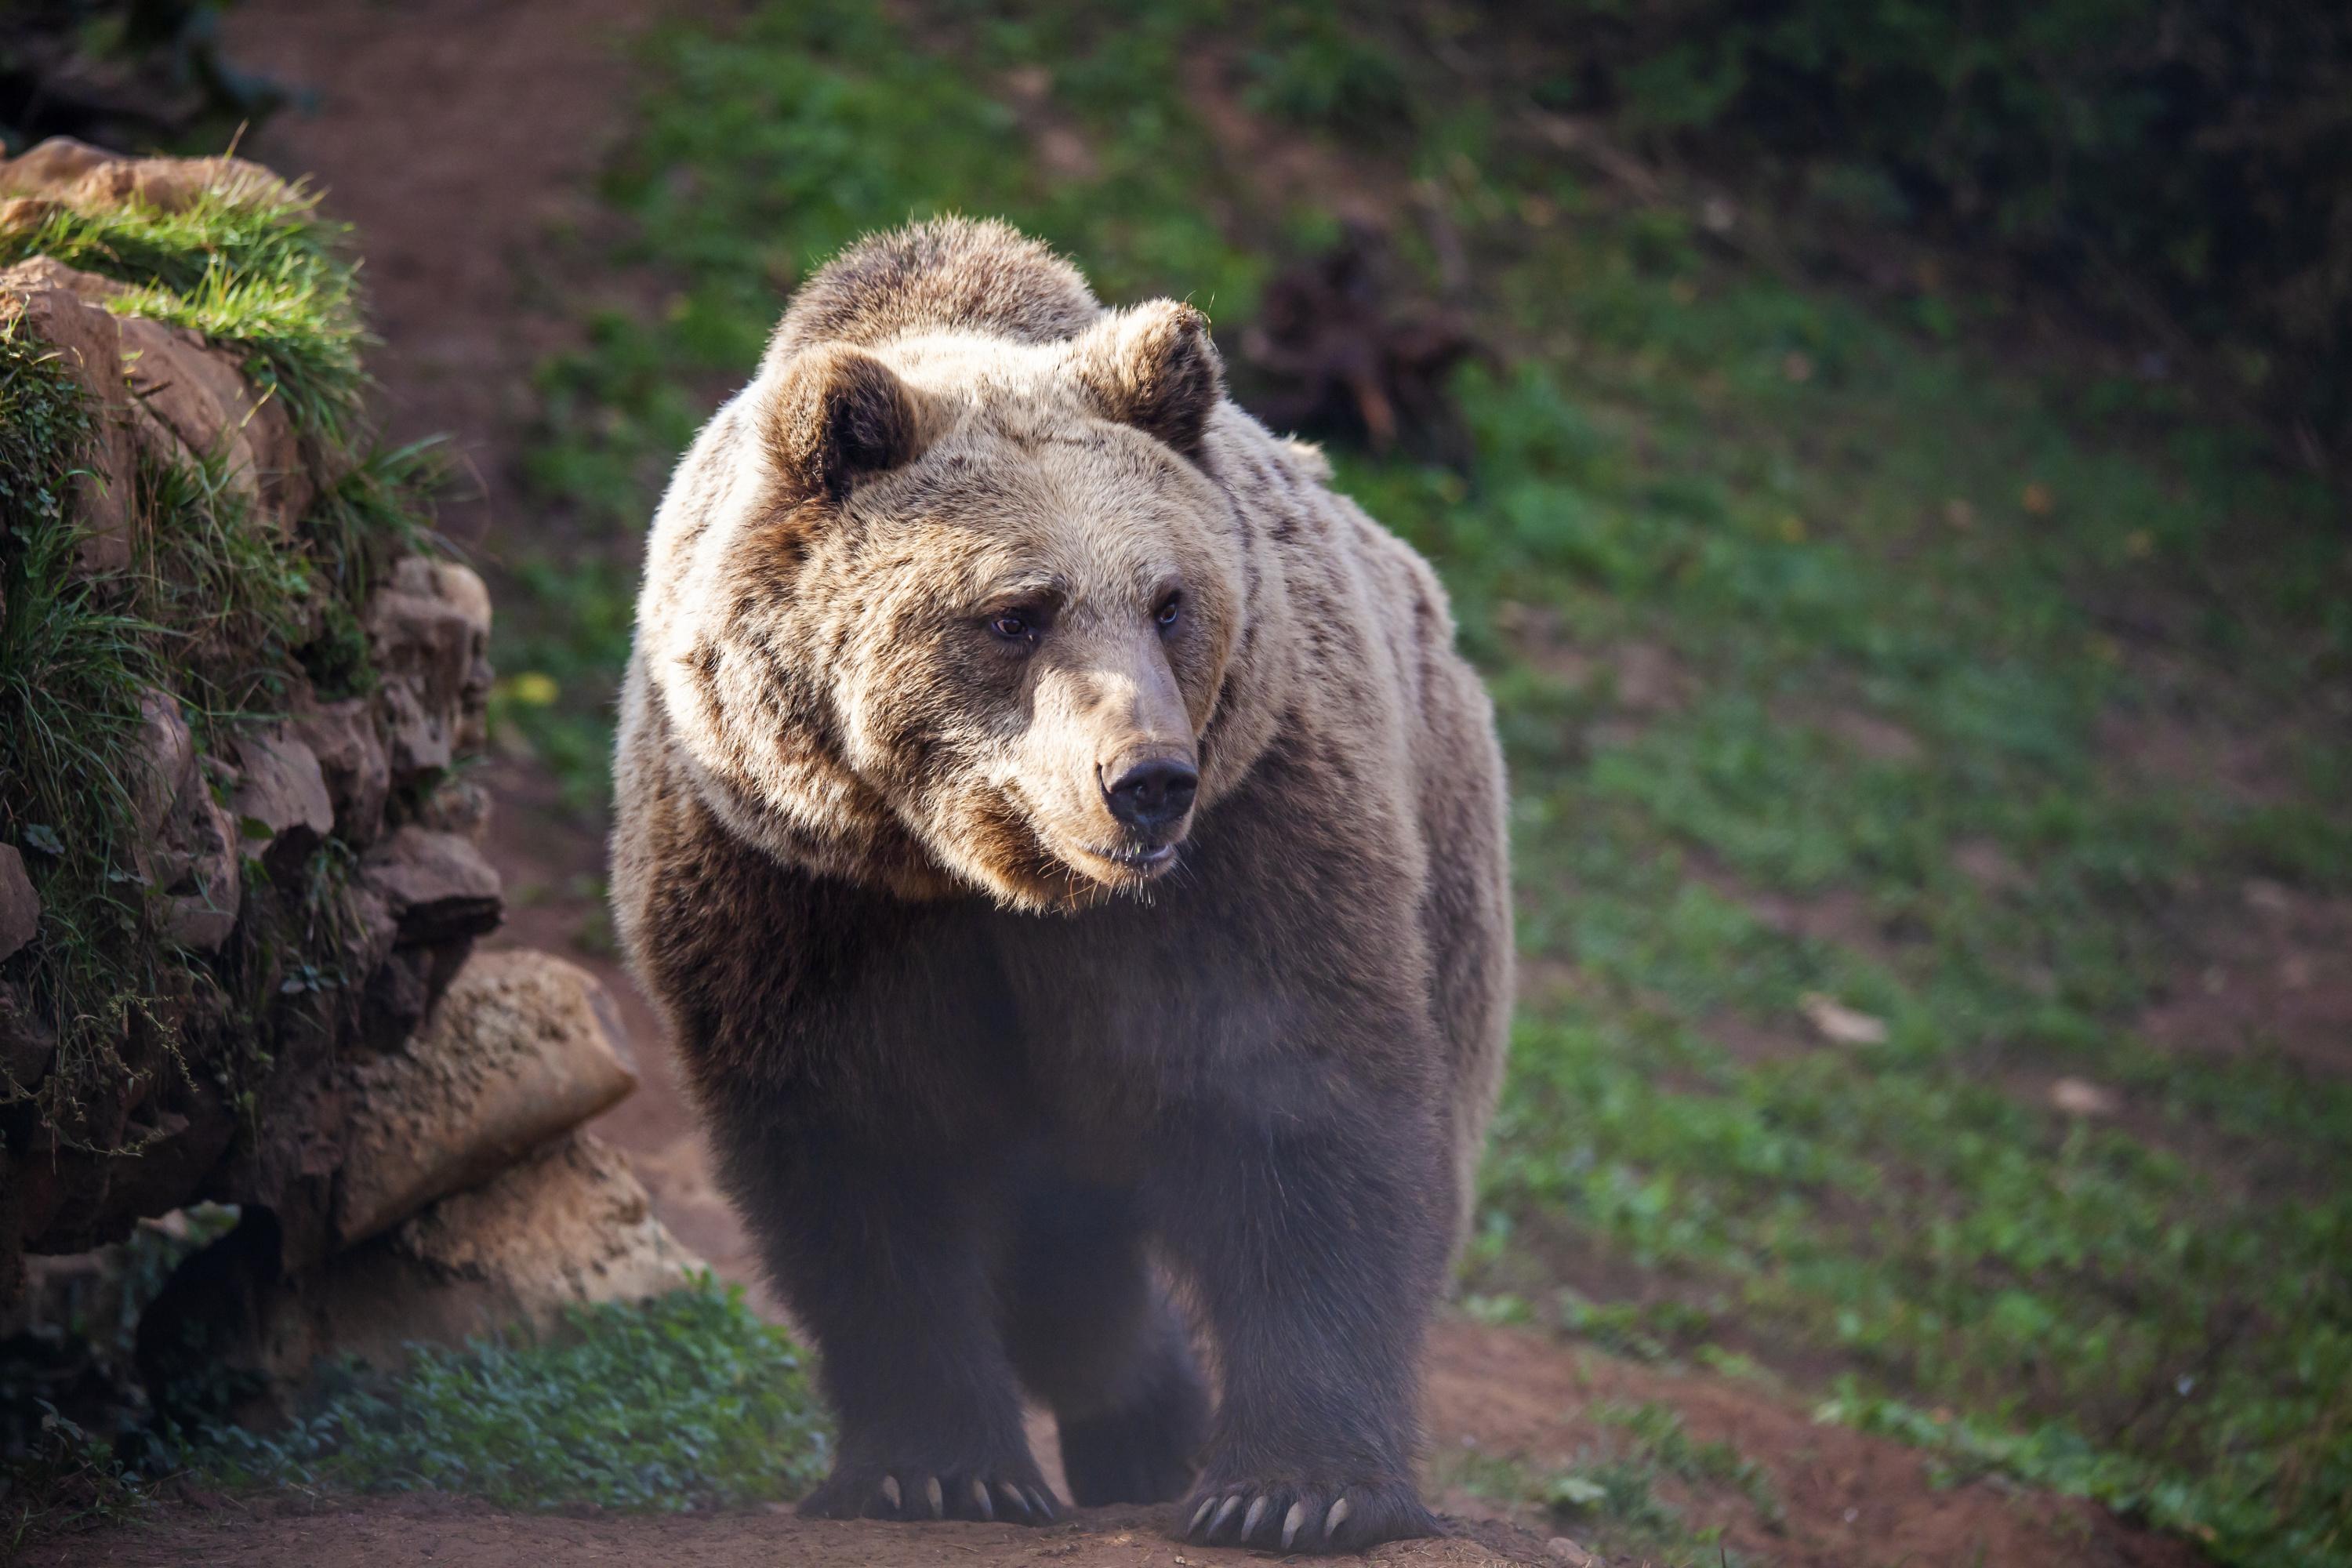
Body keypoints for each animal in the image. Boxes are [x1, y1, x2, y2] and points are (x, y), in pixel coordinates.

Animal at [612, 220, 1505, 1561]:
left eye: (1170, 601)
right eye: (1015, 613)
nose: (1146, 783)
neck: (991, 878)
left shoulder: (1251, 847)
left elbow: (1304, 1112)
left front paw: (1296, 1487)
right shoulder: (796, 889)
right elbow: (860, 1150)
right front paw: (939, 1469)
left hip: (1443, 841)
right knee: (1058, 1263)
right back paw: (1139, 1415)